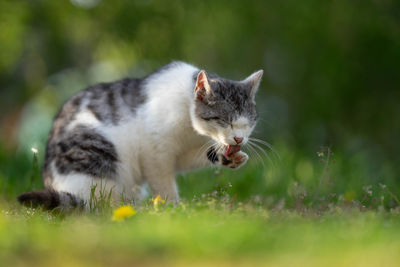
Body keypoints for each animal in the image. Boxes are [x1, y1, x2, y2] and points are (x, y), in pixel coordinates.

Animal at [18, 61, 262, 210]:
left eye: (249, 123)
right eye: (225, 121)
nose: (239, 139)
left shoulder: (183, 151)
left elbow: (191, 158)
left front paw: (230, 157)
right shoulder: (154, 151)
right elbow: (163, 183)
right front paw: (173, 211)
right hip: (97, 156)